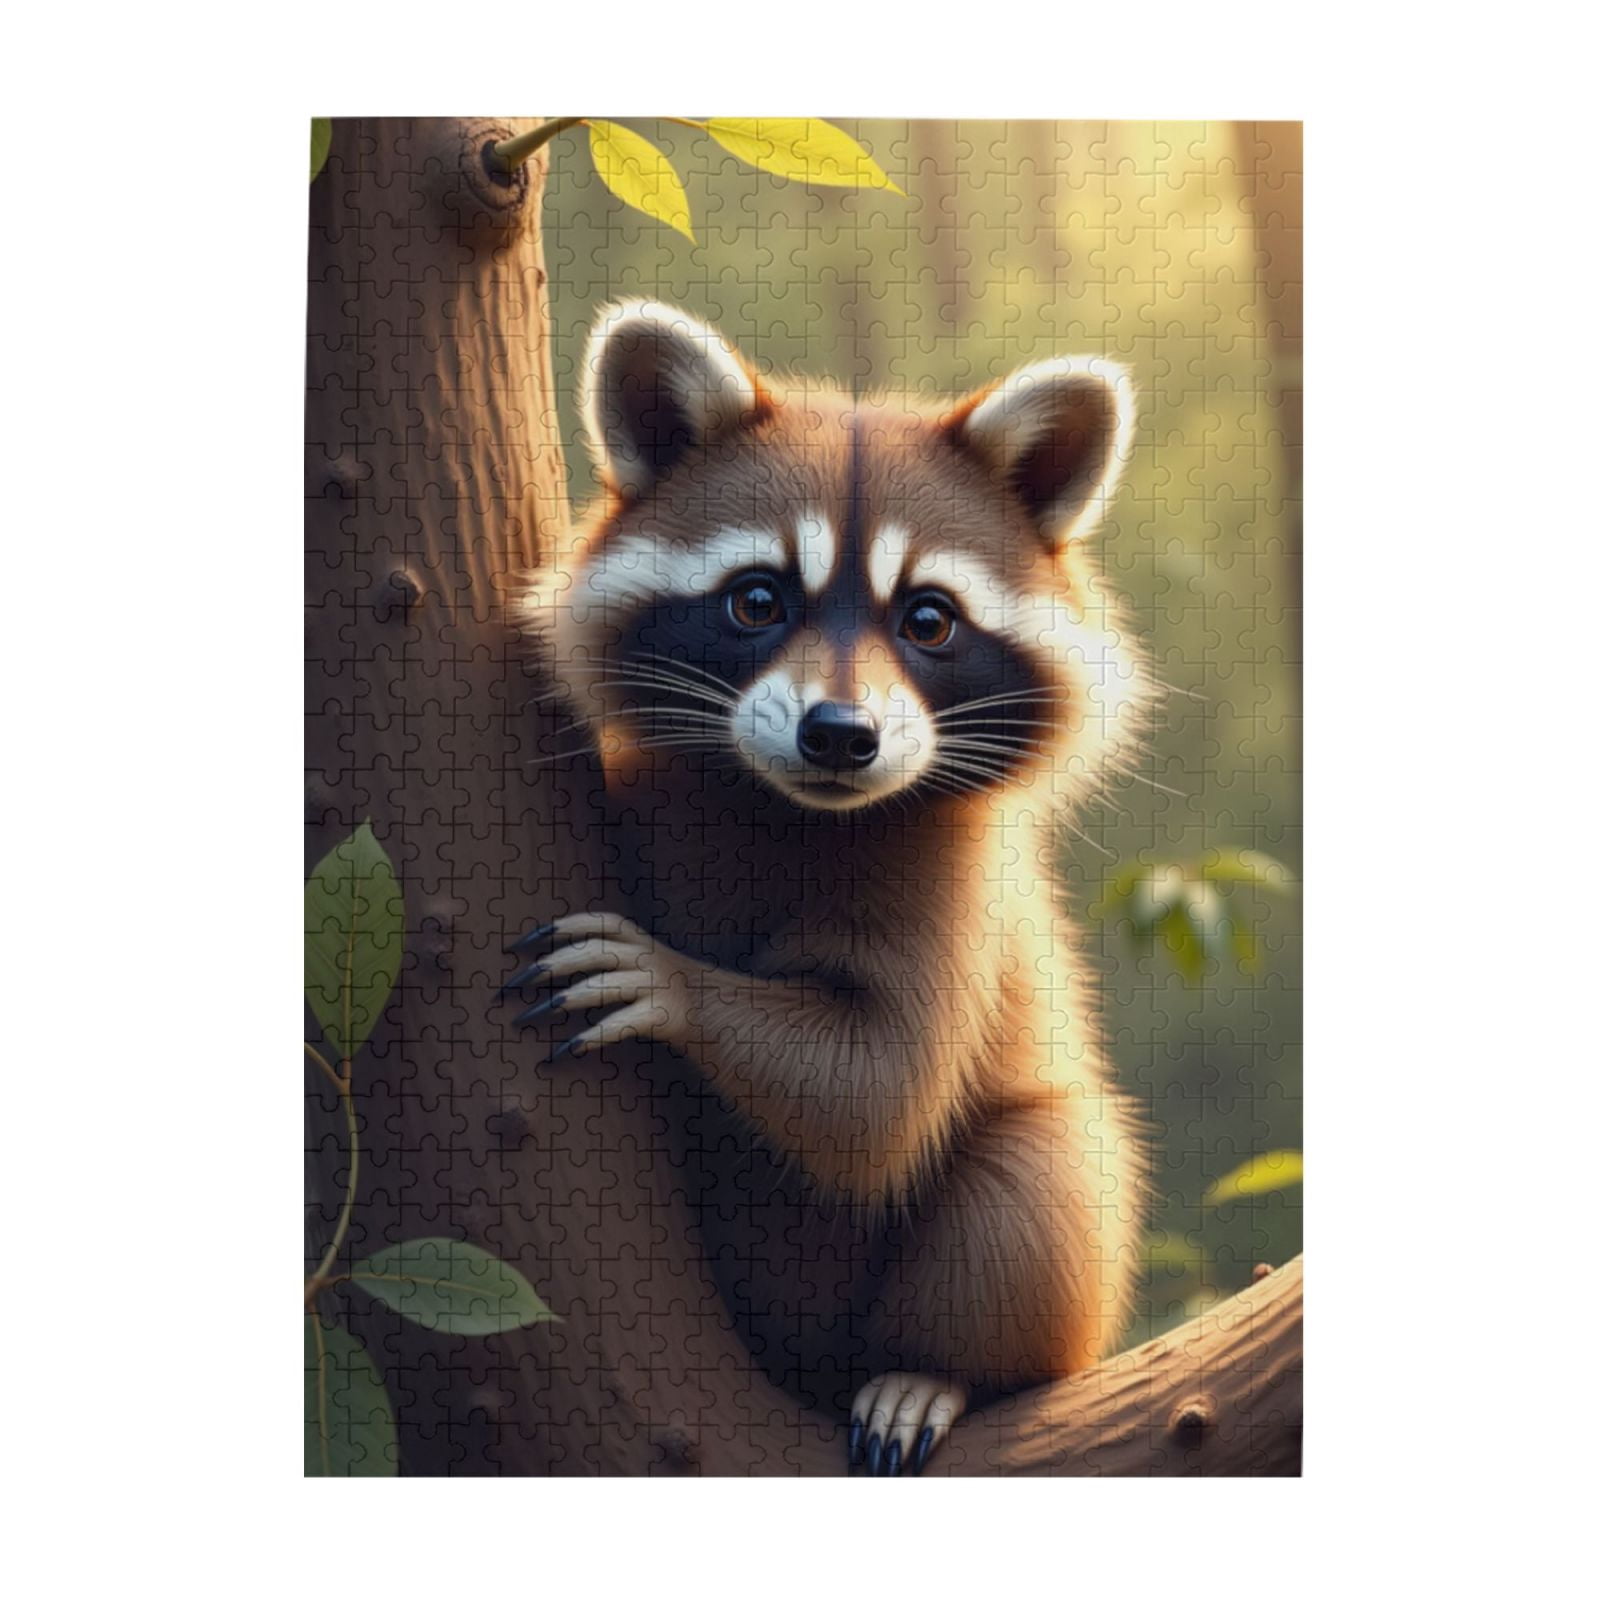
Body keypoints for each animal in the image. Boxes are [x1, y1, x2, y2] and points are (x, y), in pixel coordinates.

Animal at [510, 300, 1149, 1475]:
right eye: (758, 599)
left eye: (929, 620)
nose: (841, 737)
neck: (788, 803)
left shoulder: (955, 886)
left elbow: (876, 1089)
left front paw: (676, 983)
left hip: (1051, 1233)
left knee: (1040, 1180)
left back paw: (933, 1369)